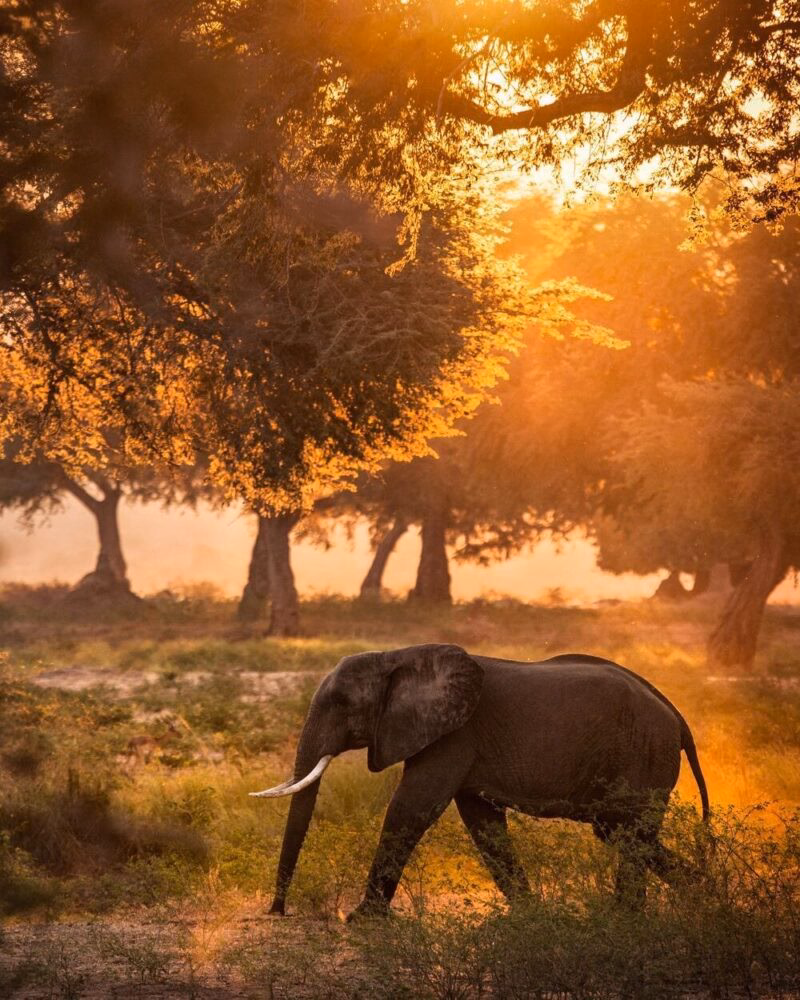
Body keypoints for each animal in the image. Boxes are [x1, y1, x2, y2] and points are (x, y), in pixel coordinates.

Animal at [251, 643, 709, 918]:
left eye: (342, 702)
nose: (278, 911)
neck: (398, 656)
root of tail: (676, 716)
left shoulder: (454, 735)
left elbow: (411, 808)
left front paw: (361, 919)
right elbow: (482, 822)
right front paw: (529, 916)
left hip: (644, 753)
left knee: (629, 832)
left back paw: (630, 916)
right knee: (621, 833)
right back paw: (699, 895)